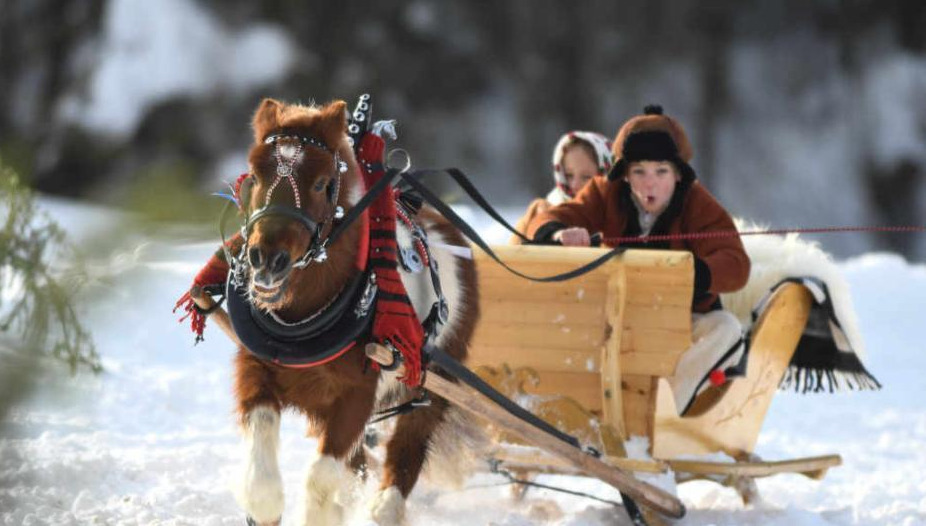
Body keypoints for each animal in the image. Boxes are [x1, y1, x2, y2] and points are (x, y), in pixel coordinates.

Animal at [232, 100, 482, 526]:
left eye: (322, 184)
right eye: (254, 174)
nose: (266, 258)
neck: (303, 319)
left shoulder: (357, 394)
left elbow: (322, 475)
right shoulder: (256, 365)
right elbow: (263, 430)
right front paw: (263, 504)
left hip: (437, 377)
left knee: (409, 443)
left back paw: (386, 507)